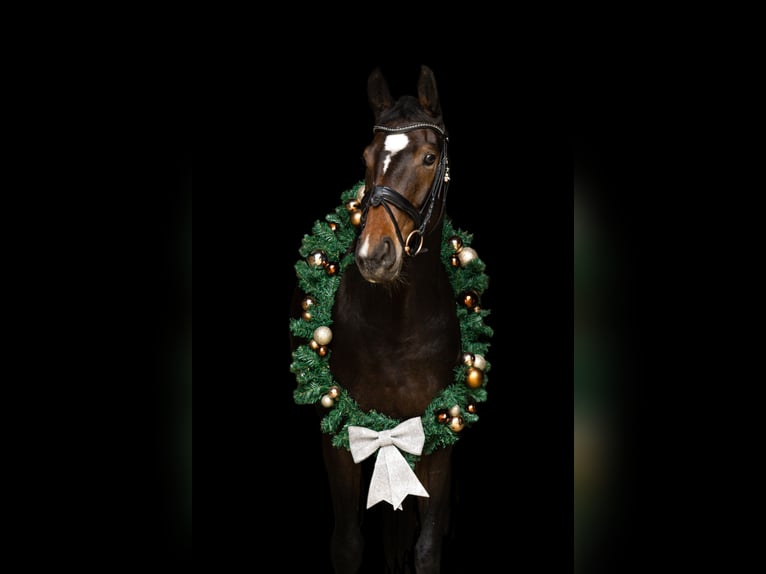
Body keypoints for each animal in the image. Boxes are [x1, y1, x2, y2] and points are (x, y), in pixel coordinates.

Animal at [289, 65, 491, 573]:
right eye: (366, 155)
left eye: (429, 157)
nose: (373, 255)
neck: (398, 328)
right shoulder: (341, 439)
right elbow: (347, 543)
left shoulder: (437, 439)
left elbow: (427, 546)